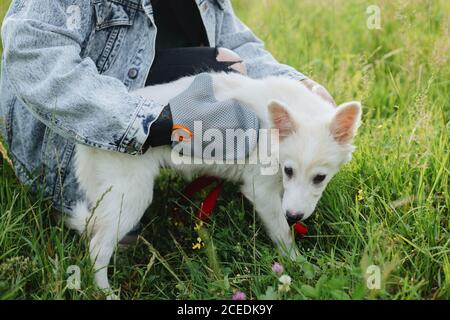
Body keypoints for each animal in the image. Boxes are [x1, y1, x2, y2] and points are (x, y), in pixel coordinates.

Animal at [67, 72, 362, 292]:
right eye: (289, 171)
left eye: (319, 178)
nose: (294, 215)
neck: (271, 131)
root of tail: (86, 140)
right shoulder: (262, 190)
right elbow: (282, 233)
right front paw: (299, 265)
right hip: (130, 198)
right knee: (97, 249)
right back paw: (105, 292)